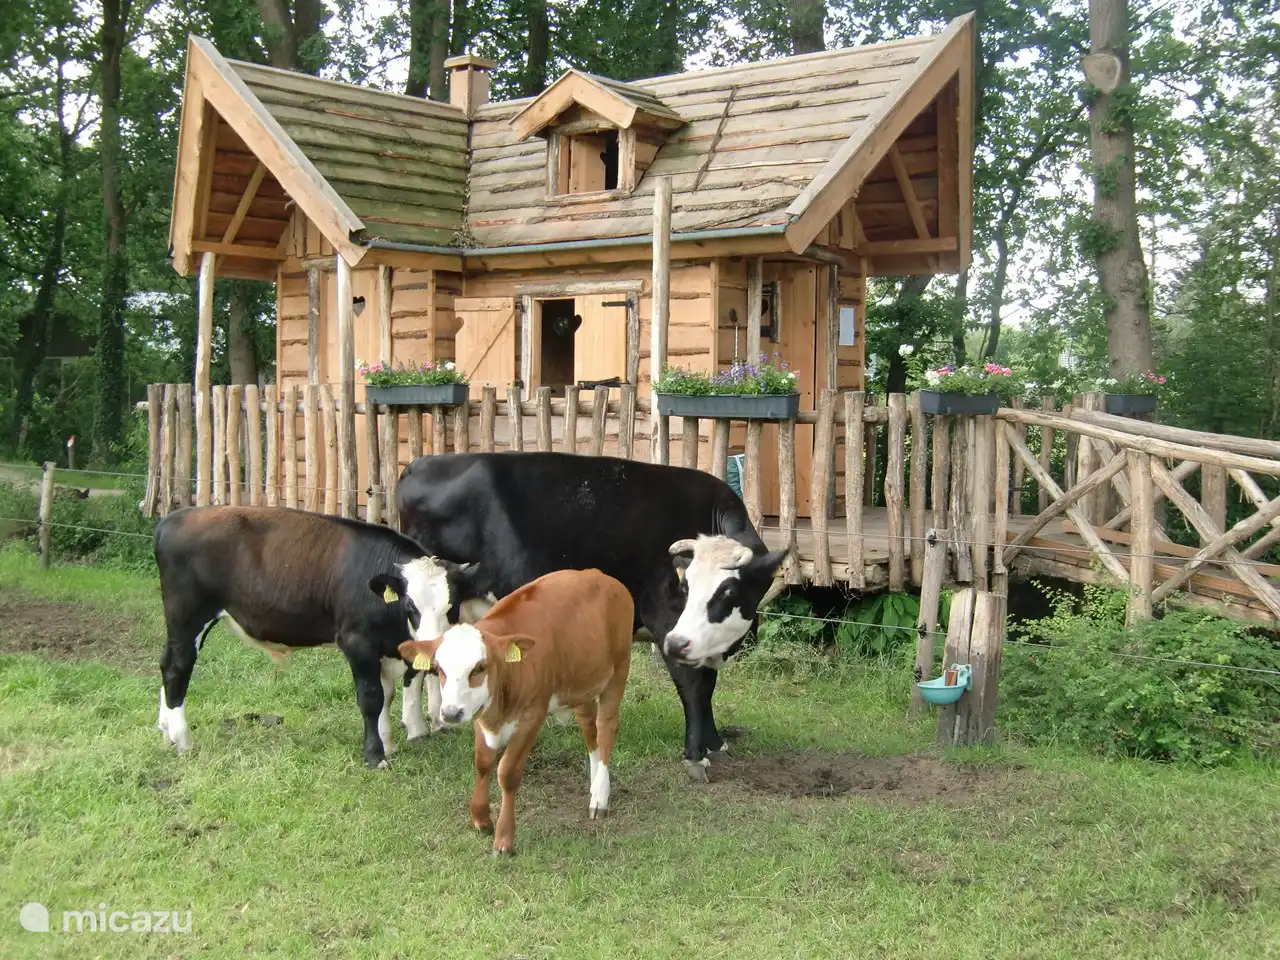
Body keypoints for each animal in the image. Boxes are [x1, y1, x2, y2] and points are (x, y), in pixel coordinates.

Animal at [152, 506, 488, 769]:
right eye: (410, 606)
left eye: (452, 606)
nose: (432, 654)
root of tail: (176, 516)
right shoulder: (357, 643)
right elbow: (372, 697)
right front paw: (375, 756)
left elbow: (391, 692)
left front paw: (390, 741)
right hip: (187, 616)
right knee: (177, 667)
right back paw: (182, 739)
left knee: (166, 662)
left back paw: (166, 730)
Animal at [396, 451, 787, 781]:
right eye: (685, 585)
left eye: (729, 591)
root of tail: (422, 462)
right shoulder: (667, 621)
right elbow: (693, 686)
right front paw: (696, 754)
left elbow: (708, 686)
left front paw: (715, 743)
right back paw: (416, 728)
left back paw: (437, 718)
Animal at [398, 568, 634, 856]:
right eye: (440, 668)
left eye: (480, 667)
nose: (451, 713)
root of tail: (599, 575)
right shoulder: (479, 711)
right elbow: (483, 763)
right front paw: (481, 818)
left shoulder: (532, 716)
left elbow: (507, 773)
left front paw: (503, 839)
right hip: (581, 682)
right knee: (590, 729)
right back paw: (595, 781)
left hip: (619, 670)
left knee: (606, 726)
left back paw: (600, 795)